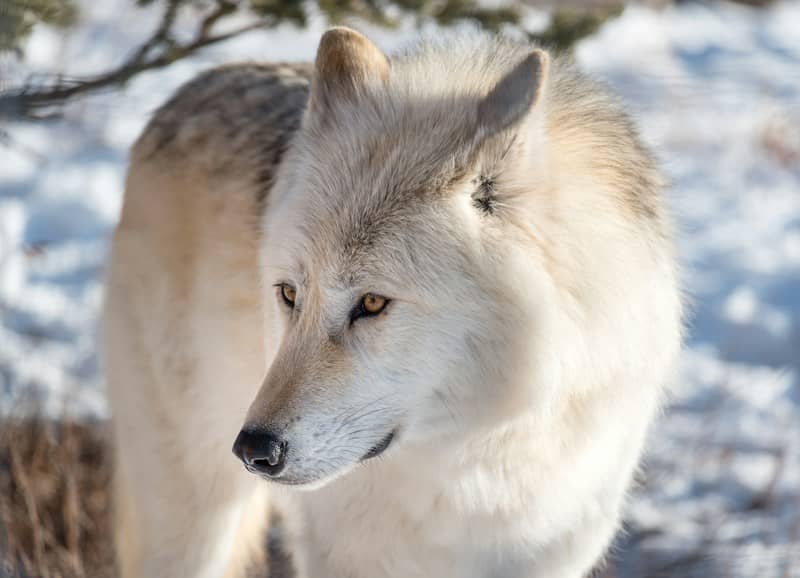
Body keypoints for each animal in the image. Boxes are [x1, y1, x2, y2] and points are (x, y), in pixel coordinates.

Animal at [104, 26, 682, 578]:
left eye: (373, 302)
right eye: (290, 294)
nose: (253, 450)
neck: (477, 462)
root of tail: (197, 83)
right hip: (188, 521)